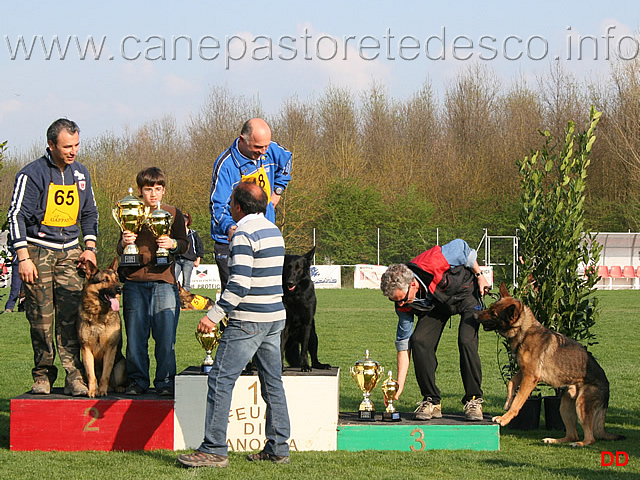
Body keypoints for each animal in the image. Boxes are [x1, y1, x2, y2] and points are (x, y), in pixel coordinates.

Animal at [77, 258, 127, 398]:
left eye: (116, 279)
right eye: (105, 280)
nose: (120, 288)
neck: (98, 315)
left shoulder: (110, 349)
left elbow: (105, 375)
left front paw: (102, 391)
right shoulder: (86, 349)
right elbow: (92, 375)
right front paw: (93, 391)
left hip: (121, 366)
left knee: (116, 382)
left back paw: (118, 388)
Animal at [476, 284, 624, 448]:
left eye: (493, 313)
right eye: (490, 308)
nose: (475, 315)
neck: (524, 331)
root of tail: (607, 386)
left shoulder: (530, 377)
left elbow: (518, 401)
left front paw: (505, 418)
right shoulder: (523, 371)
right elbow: (511, 383)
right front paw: (507, 402)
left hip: (581, 405)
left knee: (590, 438)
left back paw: (579, 443)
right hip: (564, 407)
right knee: (572, 434)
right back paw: (553, 440)